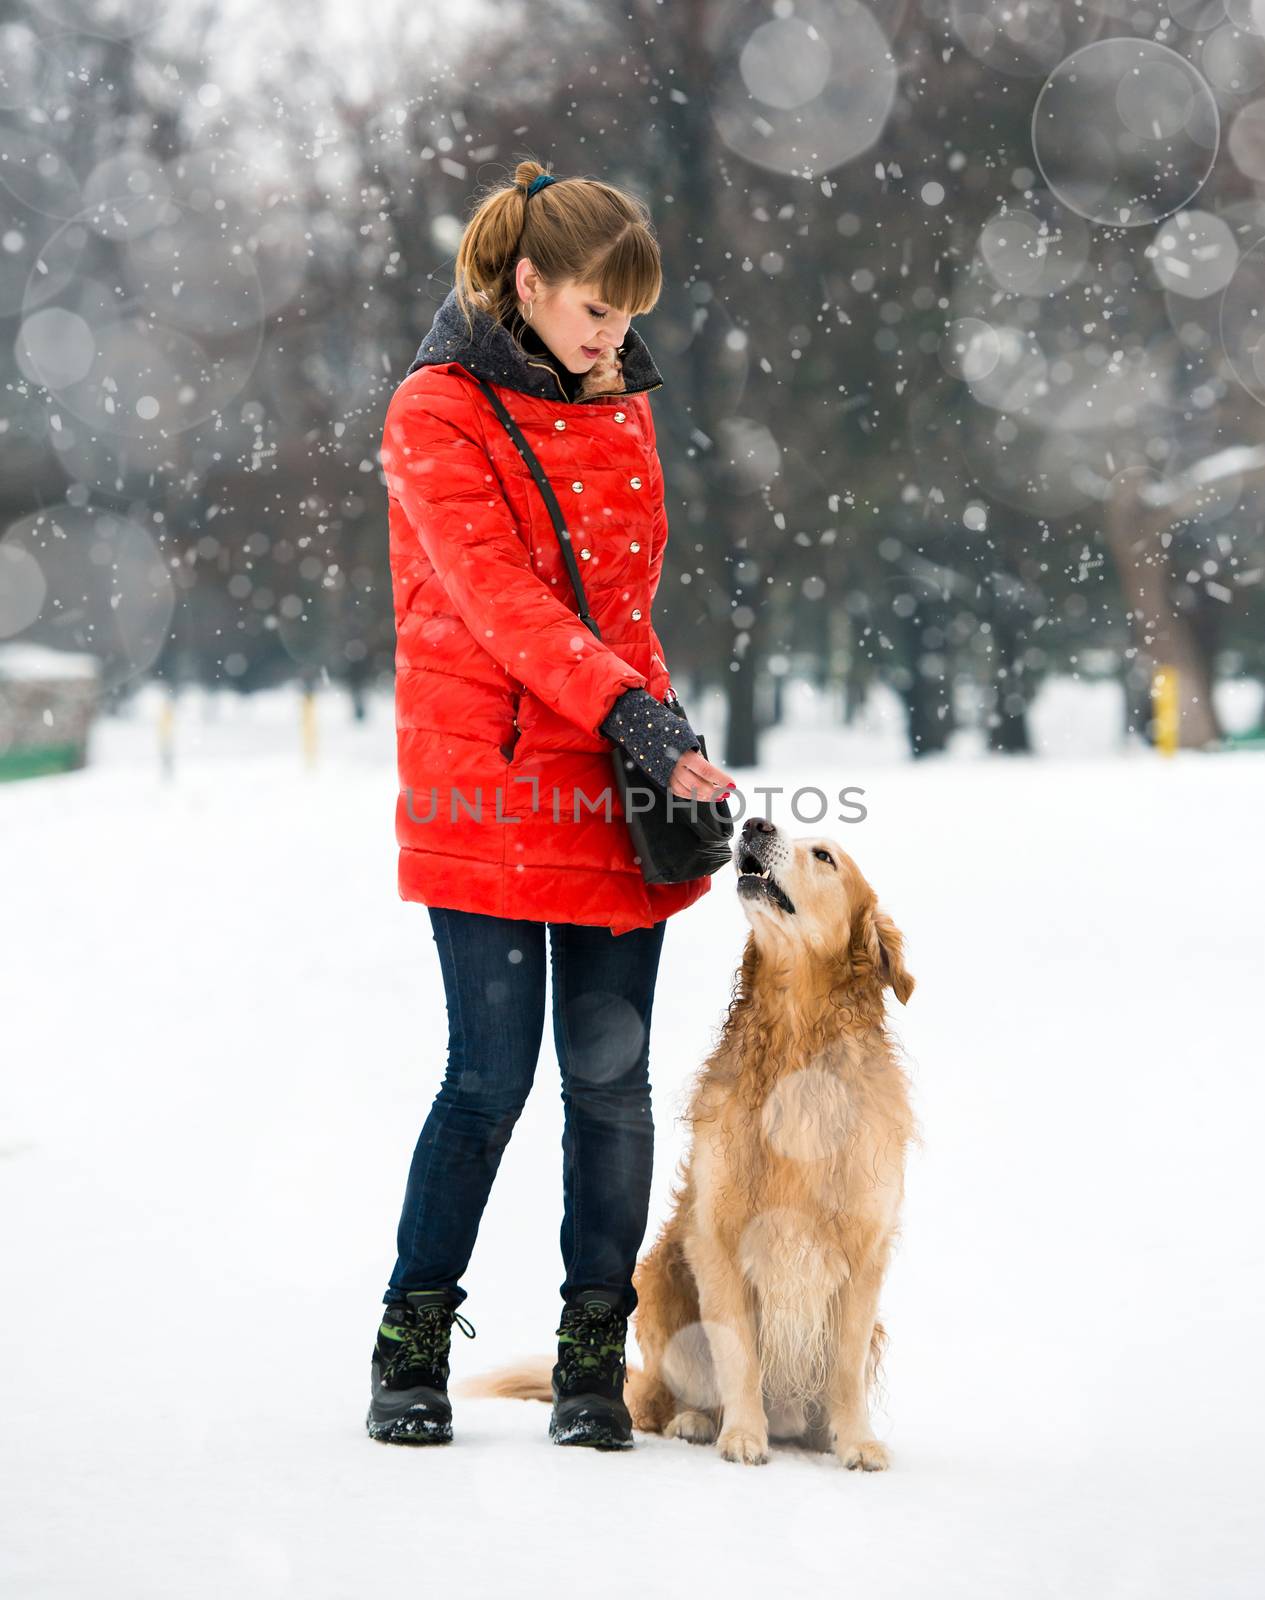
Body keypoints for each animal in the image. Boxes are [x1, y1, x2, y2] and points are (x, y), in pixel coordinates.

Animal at [460, 819, 914, 1465]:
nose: (755, 824)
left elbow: (845, 1368)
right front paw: (743, 1435)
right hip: (660, 1285)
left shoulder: (863, 1249)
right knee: (661, 1399)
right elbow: (737, 1353)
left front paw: (857, 1443)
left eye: (825, 856)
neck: (798, 1038)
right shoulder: (717, 1238)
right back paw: (698, 1421)